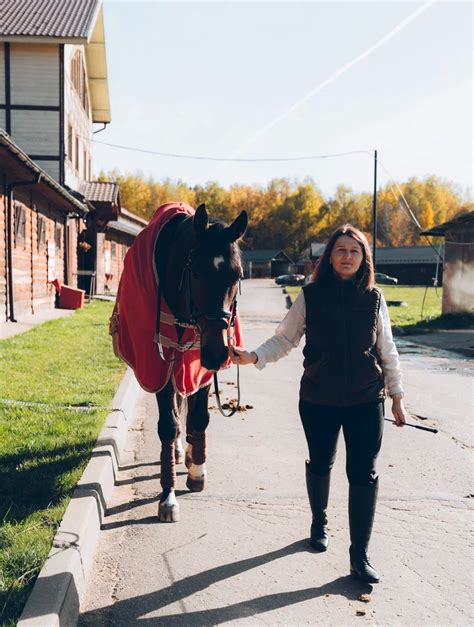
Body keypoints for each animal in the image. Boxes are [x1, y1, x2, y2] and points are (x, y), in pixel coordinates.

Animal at [112, 204, 248, 524]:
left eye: (237, 275)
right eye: (196, 272)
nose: (218, 353)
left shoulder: (198, 365)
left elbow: (198, 418)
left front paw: (197, 470)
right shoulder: (160, 365)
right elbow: (167, 424)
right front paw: (168, 494)